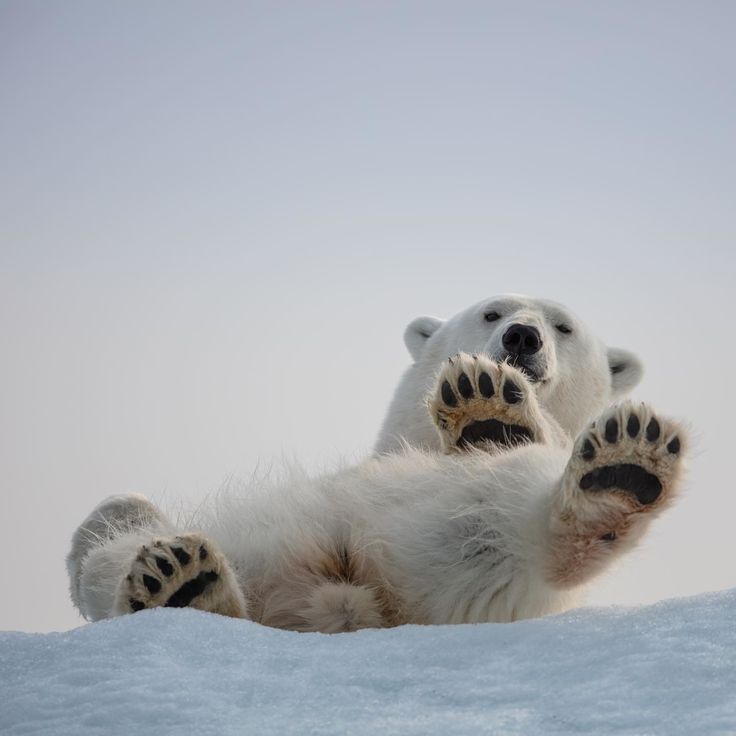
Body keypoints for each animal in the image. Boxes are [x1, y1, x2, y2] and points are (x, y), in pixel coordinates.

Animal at [67, 296, 684, 628]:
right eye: (491, 311)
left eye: (564, 326)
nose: (522, 336)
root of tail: (340, 599)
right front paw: (486, 405)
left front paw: (494, 415)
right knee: (117, 537)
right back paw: (180, 581)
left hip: (434, 558)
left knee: (491, 525)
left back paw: (615, 475)